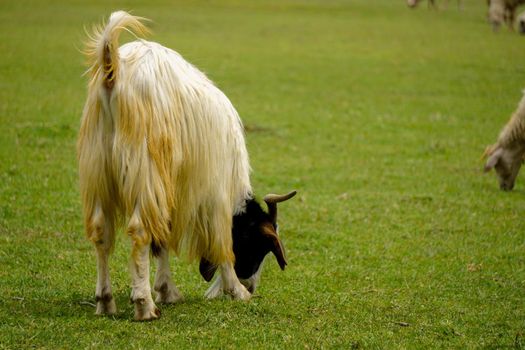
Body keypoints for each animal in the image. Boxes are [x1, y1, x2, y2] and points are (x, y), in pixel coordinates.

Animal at [79, 10, 298, 320]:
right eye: (259, 245)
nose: (251, 285)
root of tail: (114, 70)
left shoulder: (173, 188)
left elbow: (163, 239)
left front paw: (167, 290)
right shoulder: (213, 191)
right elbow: (221, 241)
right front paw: (236, 291)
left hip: (98, 167)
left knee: (101, 232)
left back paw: (105, 302)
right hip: (145, 167)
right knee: (140, 230)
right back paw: (144, 306)